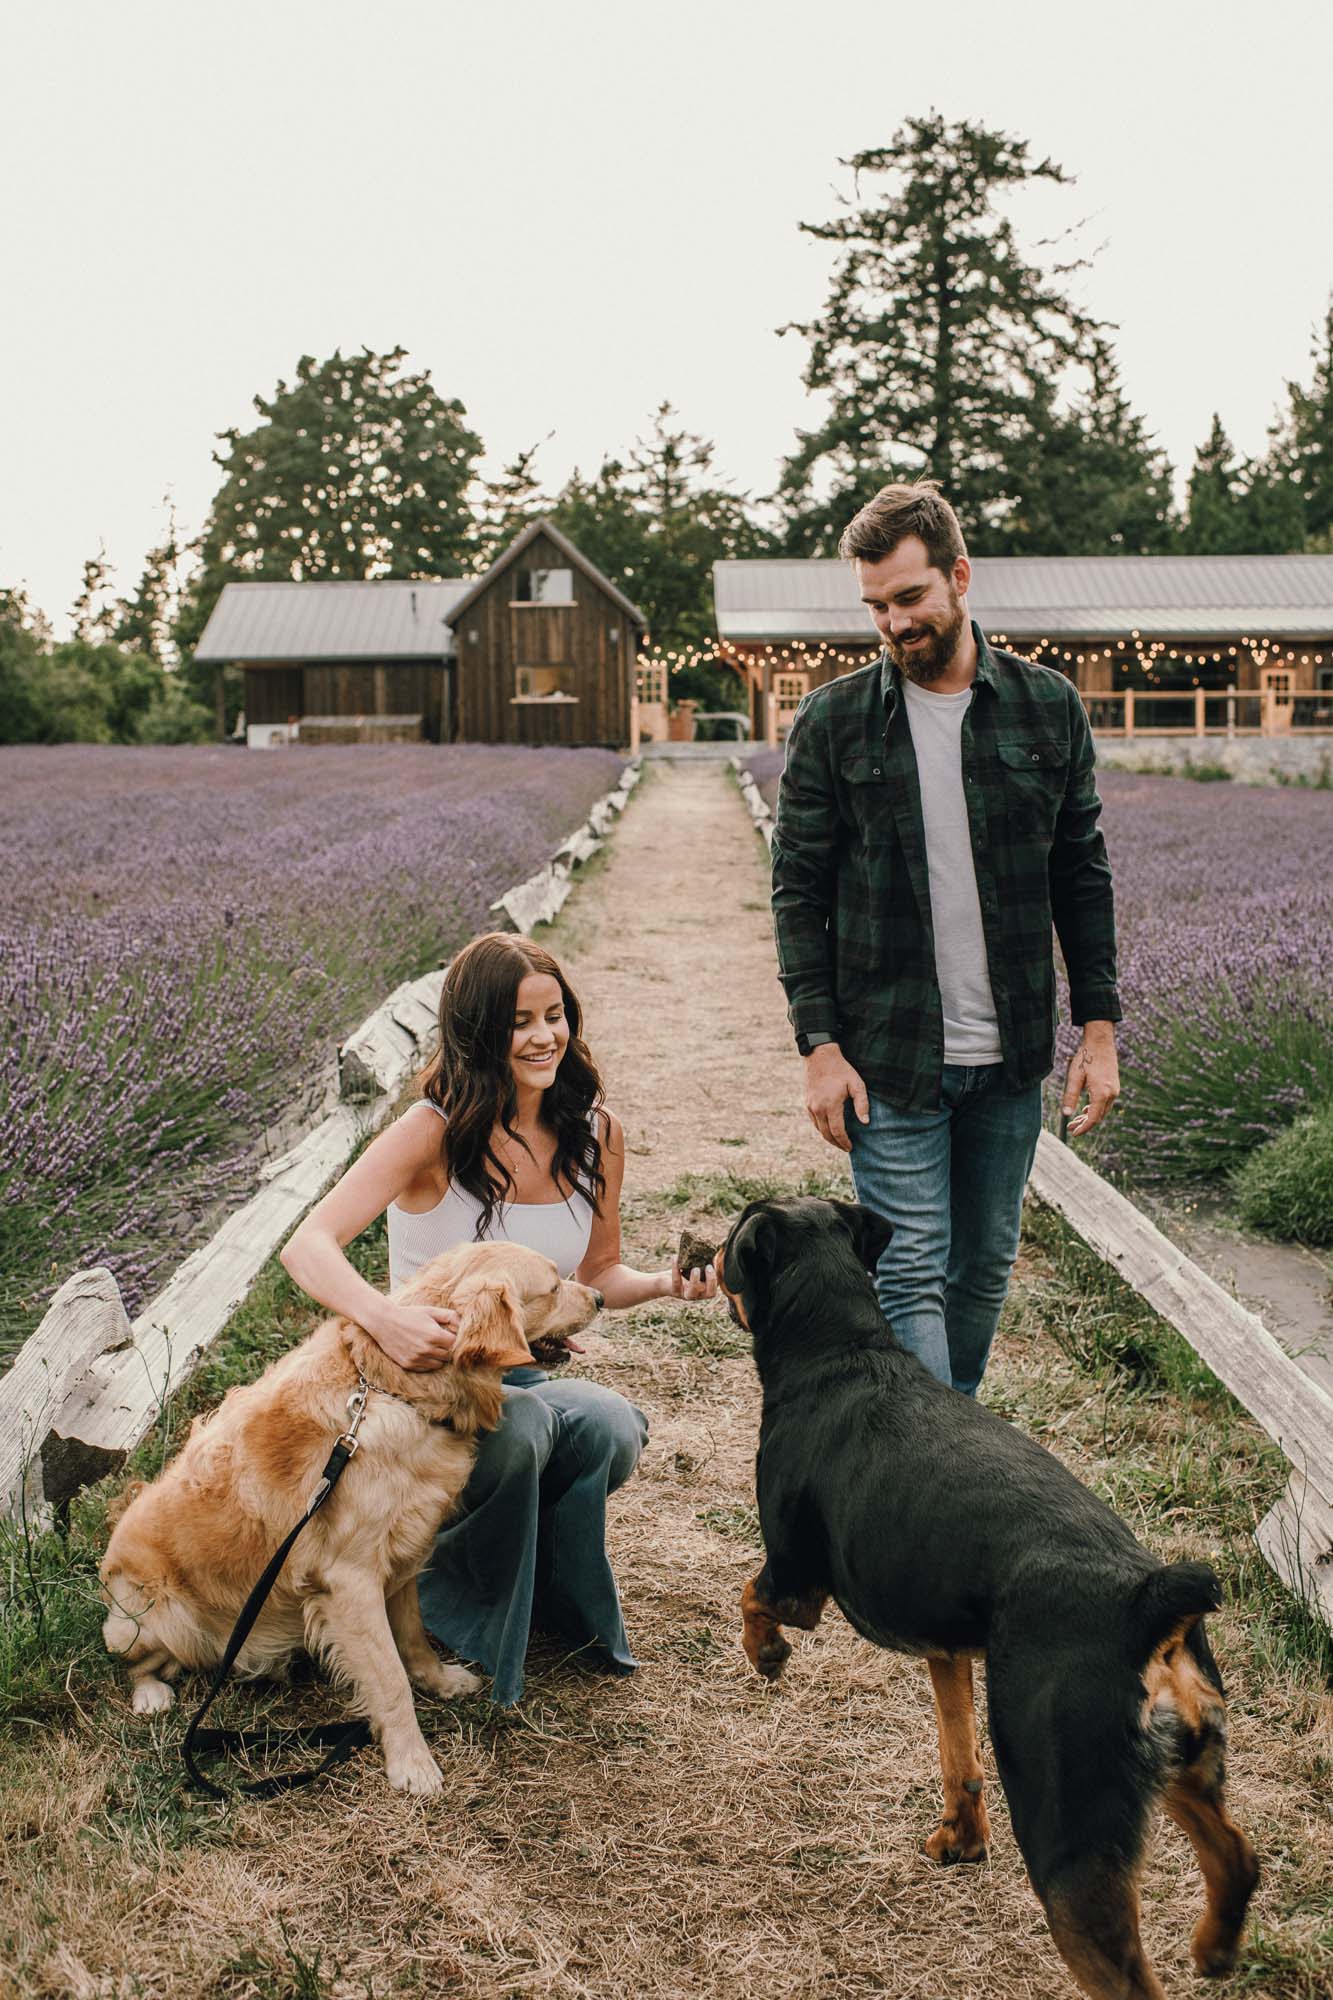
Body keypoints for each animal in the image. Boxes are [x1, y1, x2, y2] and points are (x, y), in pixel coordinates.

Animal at [716, 1192, 1248, 2000]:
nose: (703, 1253)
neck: (842, 1351)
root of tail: (1142, 1598)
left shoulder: (797, 1582)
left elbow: (749, 1594)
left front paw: (767, 1654)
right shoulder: (950, 1650)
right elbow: (957, 1756)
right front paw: (961, 1842)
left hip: (1067, 1837)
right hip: (1185, 1767)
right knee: (1237, 1857)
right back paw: (1215, 1947)